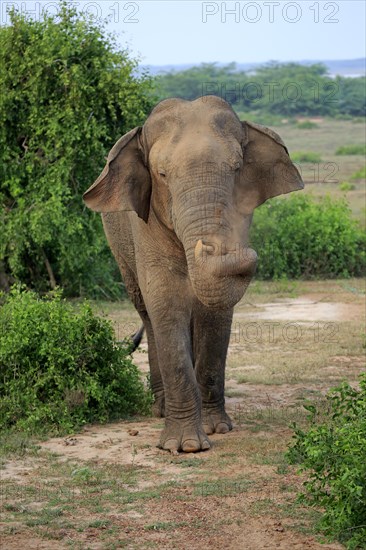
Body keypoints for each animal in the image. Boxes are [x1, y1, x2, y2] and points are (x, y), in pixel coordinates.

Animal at [83, 97, 304, 454]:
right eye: (161, 174)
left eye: (237, 169)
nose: (244, 252)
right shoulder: (146, 221)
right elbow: (166, 299)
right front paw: (185, 446)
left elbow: (215, 310)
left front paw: (217, 429)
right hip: (117, 245)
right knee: (147, 312)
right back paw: (160, 409)